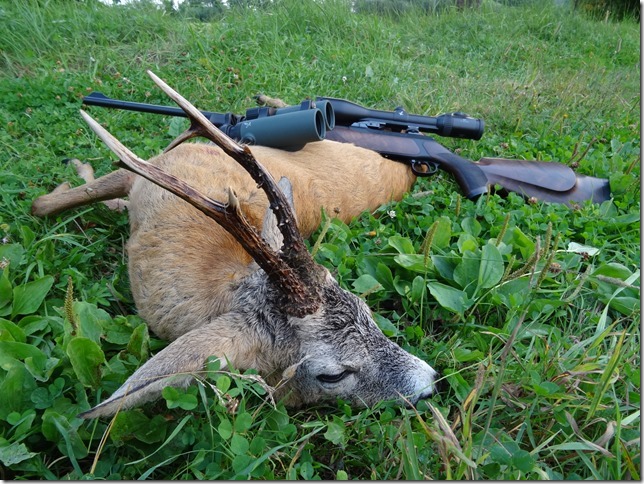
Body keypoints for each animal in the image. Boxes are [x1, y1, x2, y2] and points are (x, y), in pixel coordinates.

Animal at [32, 71, 438, 419]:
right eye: (334, 375)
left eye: (369, 313)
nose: (432, 383)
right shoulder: (150, 169)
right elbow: (46, 204)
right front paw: (79, 174)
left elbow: (45, 202)